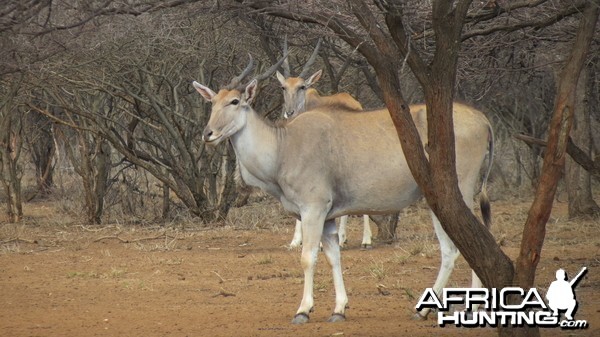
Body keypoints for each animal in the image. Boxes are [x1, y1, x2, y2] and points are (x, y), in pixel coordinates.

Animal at [195, 67, 494, 320]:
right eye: (212, 102)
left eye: (235, 101)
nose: (208, 133)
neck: (283, 145)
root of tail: (483, 119)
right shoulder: (327, 217)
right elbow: (333, 257)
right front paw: (339, 308)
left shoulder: (313, 209)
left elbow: (307, 258)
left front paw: (303, 310)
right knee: (460, 246)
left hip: (455, 195)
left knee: (463, 245)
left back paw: (458, 308)